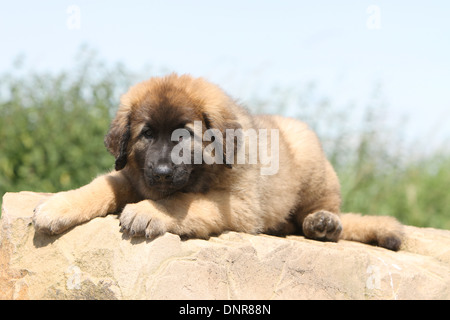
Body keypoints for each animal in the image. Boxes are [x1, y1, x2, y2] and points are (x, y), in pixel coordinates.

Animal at [32, 74, 404, 251]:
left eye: (184, 136)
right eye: (147, 134)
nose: (162, 173)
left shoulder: (238, 203)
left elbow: (185, 201)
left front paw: (150, 211)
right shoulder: (131, 175)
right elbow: (100, 185)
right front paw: (58, 205)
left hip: (309, 153)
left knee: (326, 211)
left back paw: (323, 223)